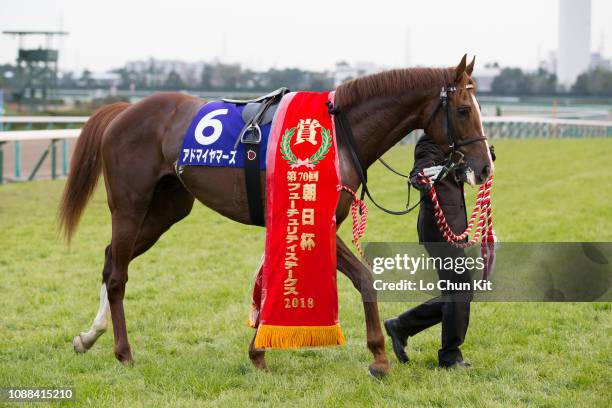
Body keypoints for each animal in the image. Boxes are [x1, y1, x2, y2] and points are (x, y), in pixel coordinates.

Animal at [61, 55, 492, 378]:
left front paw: (257, 353)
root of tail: (126, 111)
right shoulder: (312, 223)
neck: (339, 132)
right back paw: (123, 351)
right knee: (117, 275)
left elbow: (268, 286)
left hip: (167, 209)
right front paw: (379, 357)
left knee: (110, 259)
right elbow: (364, 277)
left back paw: (89, 336)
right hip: (130, 205)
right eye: (464, 109)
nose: (485, 166)